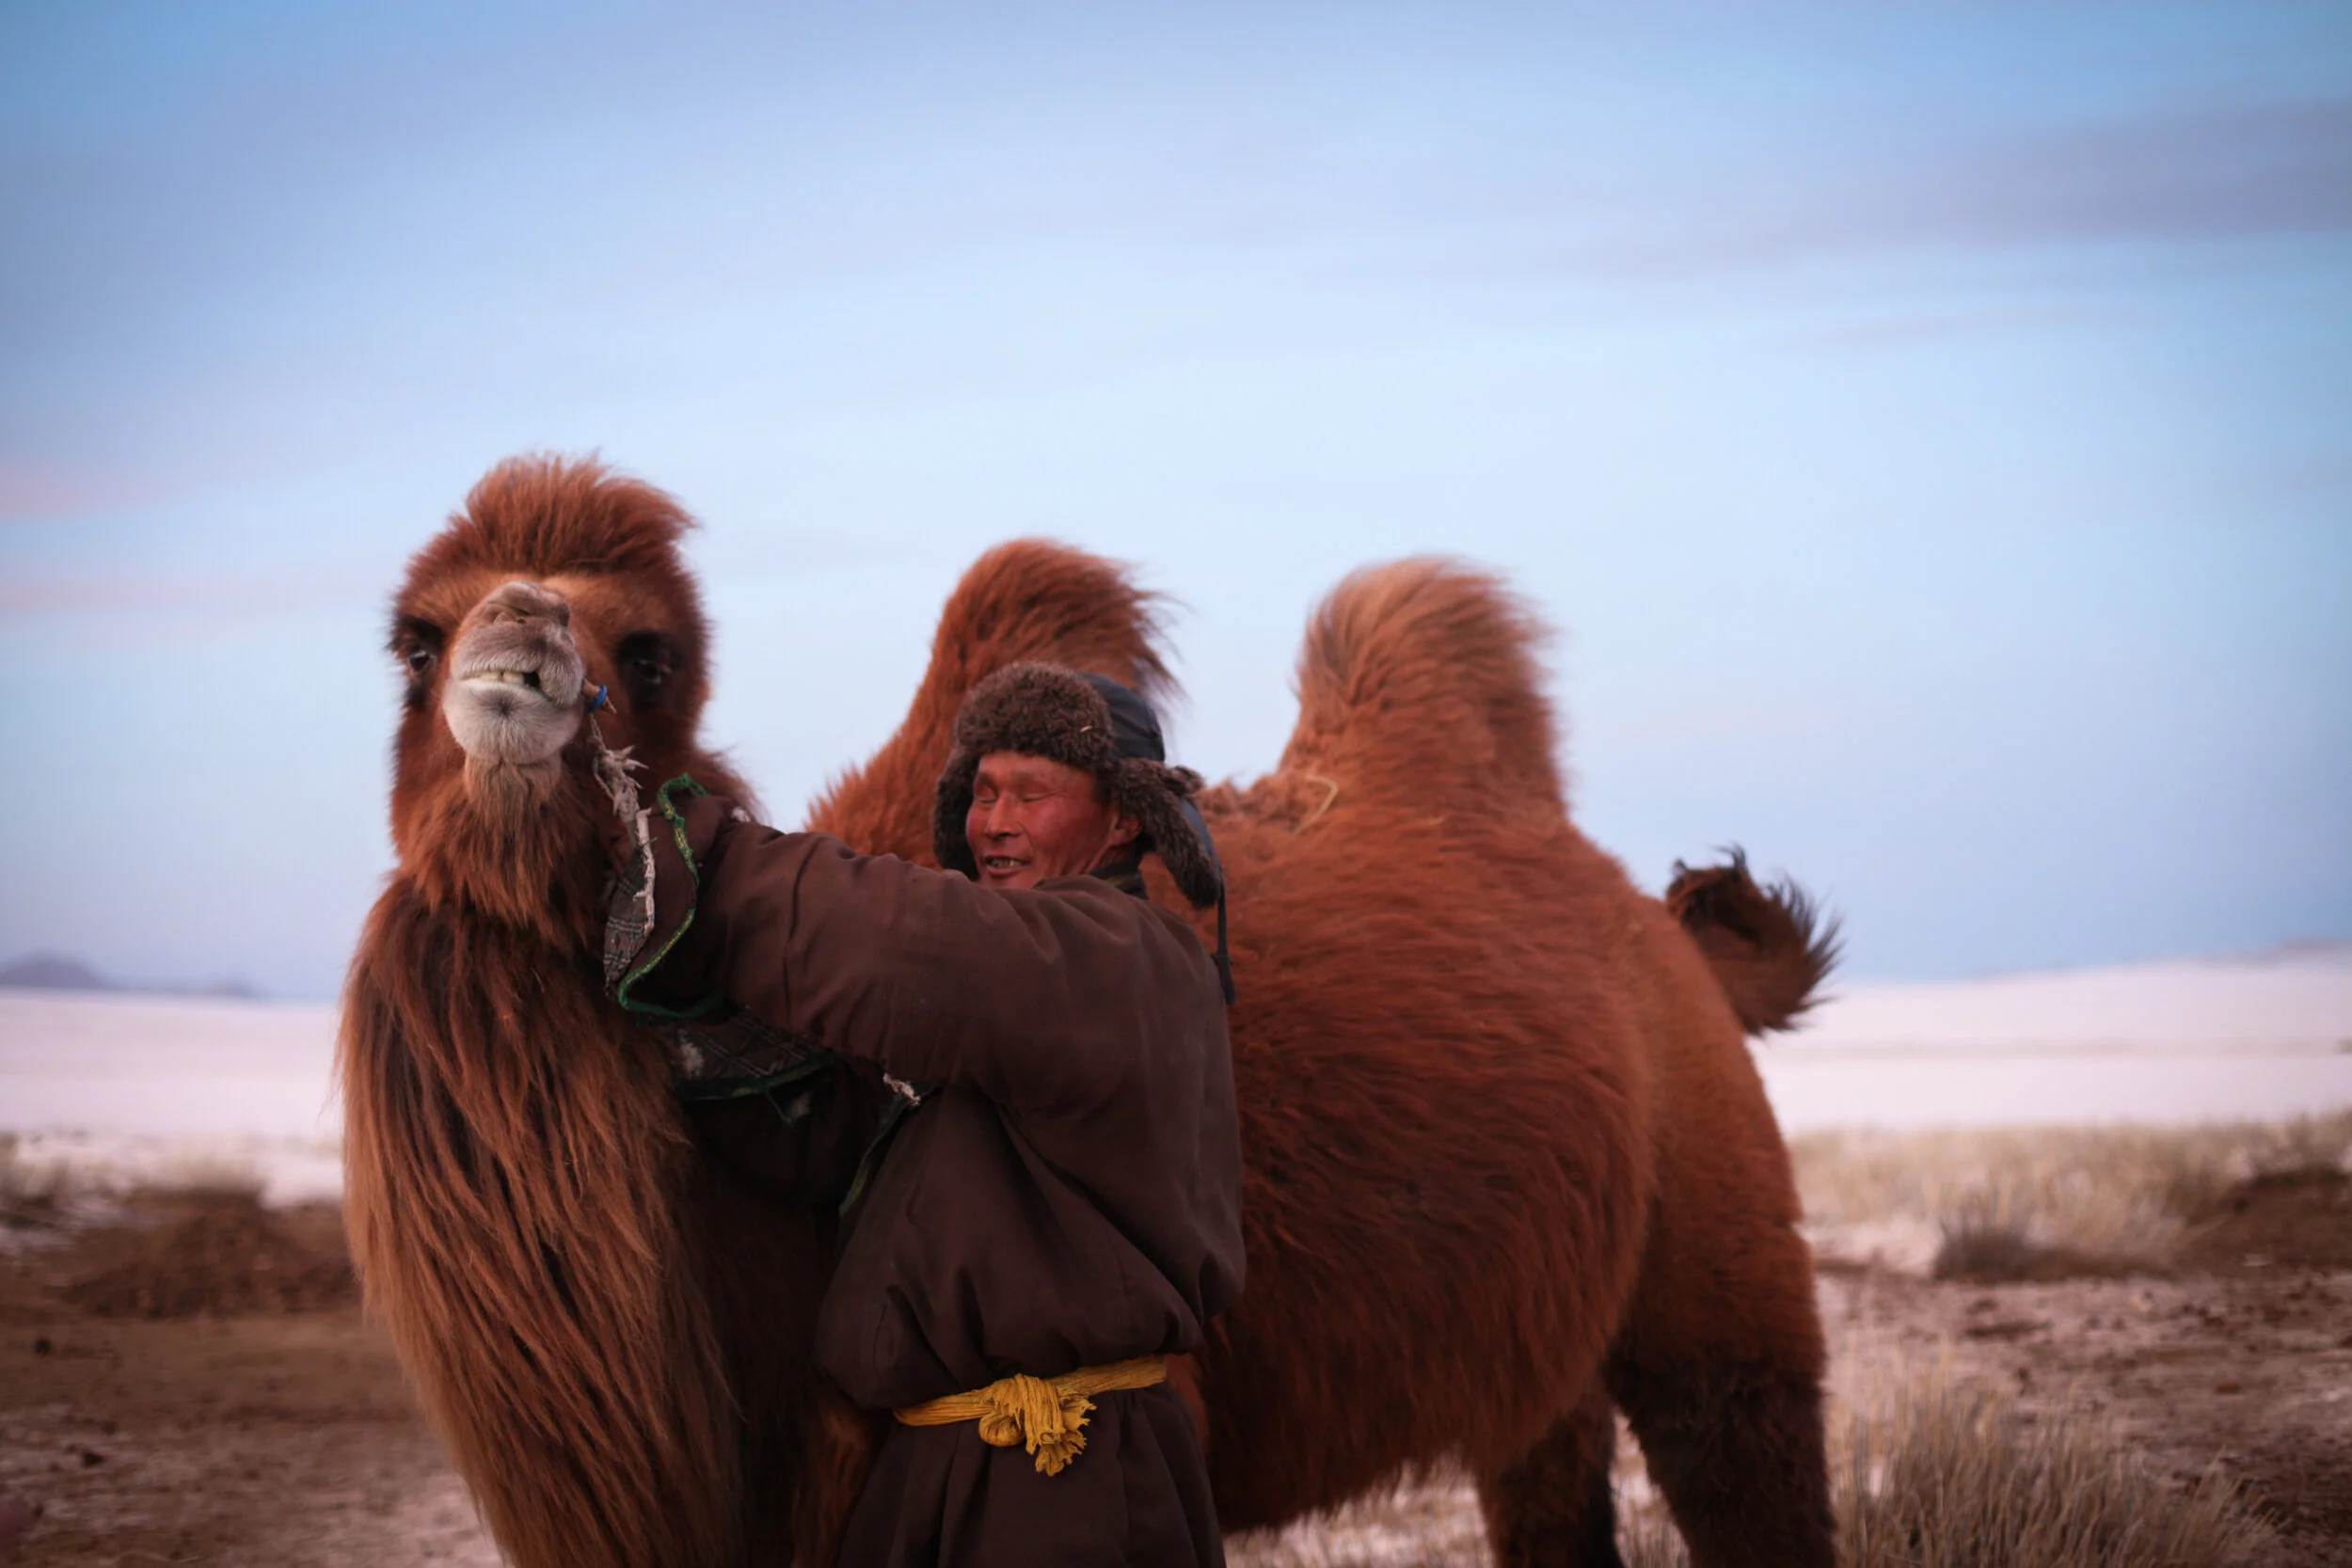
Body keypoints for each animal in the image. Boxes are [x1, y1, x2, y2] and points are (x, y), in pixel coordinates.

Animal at [343, 454, 1835, 1568]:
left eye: (651, 655)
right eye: (414, 641)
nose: (517, 644)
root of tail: (1666, 937)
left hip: (1716, 1235)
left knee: (1740, 1434)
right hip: (1539, 1325)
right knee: (1547, 1468)